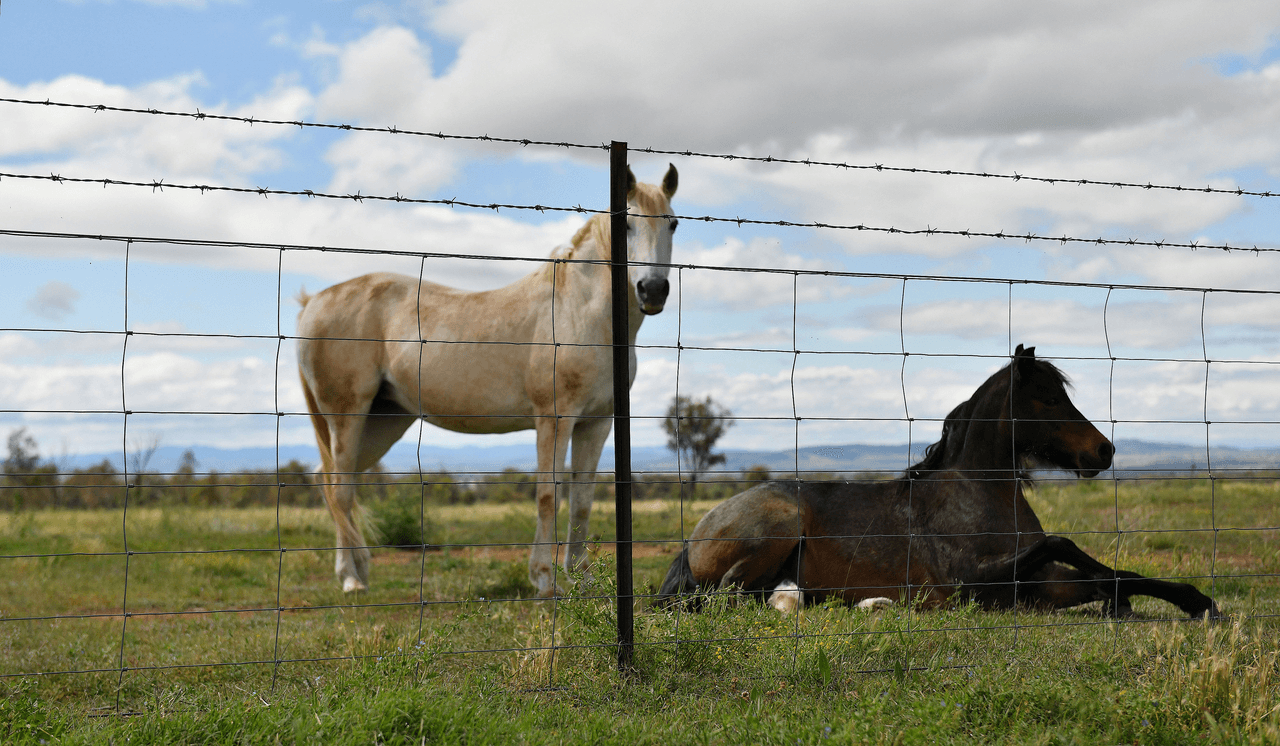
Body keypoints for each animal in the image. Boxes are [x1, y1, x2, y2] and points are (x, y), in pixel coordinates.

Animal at [296, 165, 680, 596]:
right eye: (626, 225)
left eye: (673, 224)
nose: (653, 290)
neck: (577, 311)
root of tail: (314, 302)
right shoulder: (554, 419)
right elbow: (548, 495)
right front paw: (544, 579)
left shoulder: (596, 423)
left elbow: (582, 499)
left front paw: (581, 580)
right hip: (347, 416)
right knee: (339, 489)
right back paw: (351, 579)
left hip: (383, 422)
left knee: (330, 482)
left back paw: (358, 569)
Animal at [660, 345, 1218, 619]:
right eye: (1047, 398)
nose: (1103, 450)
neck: (979, 494)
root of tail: (696, 536)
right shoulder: (973, 583)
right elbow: (1064, 543)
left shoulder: (1041, 584)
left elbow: (1112, 572)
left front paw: (1192, 601)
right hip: (776, 528)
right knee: (726, 599)